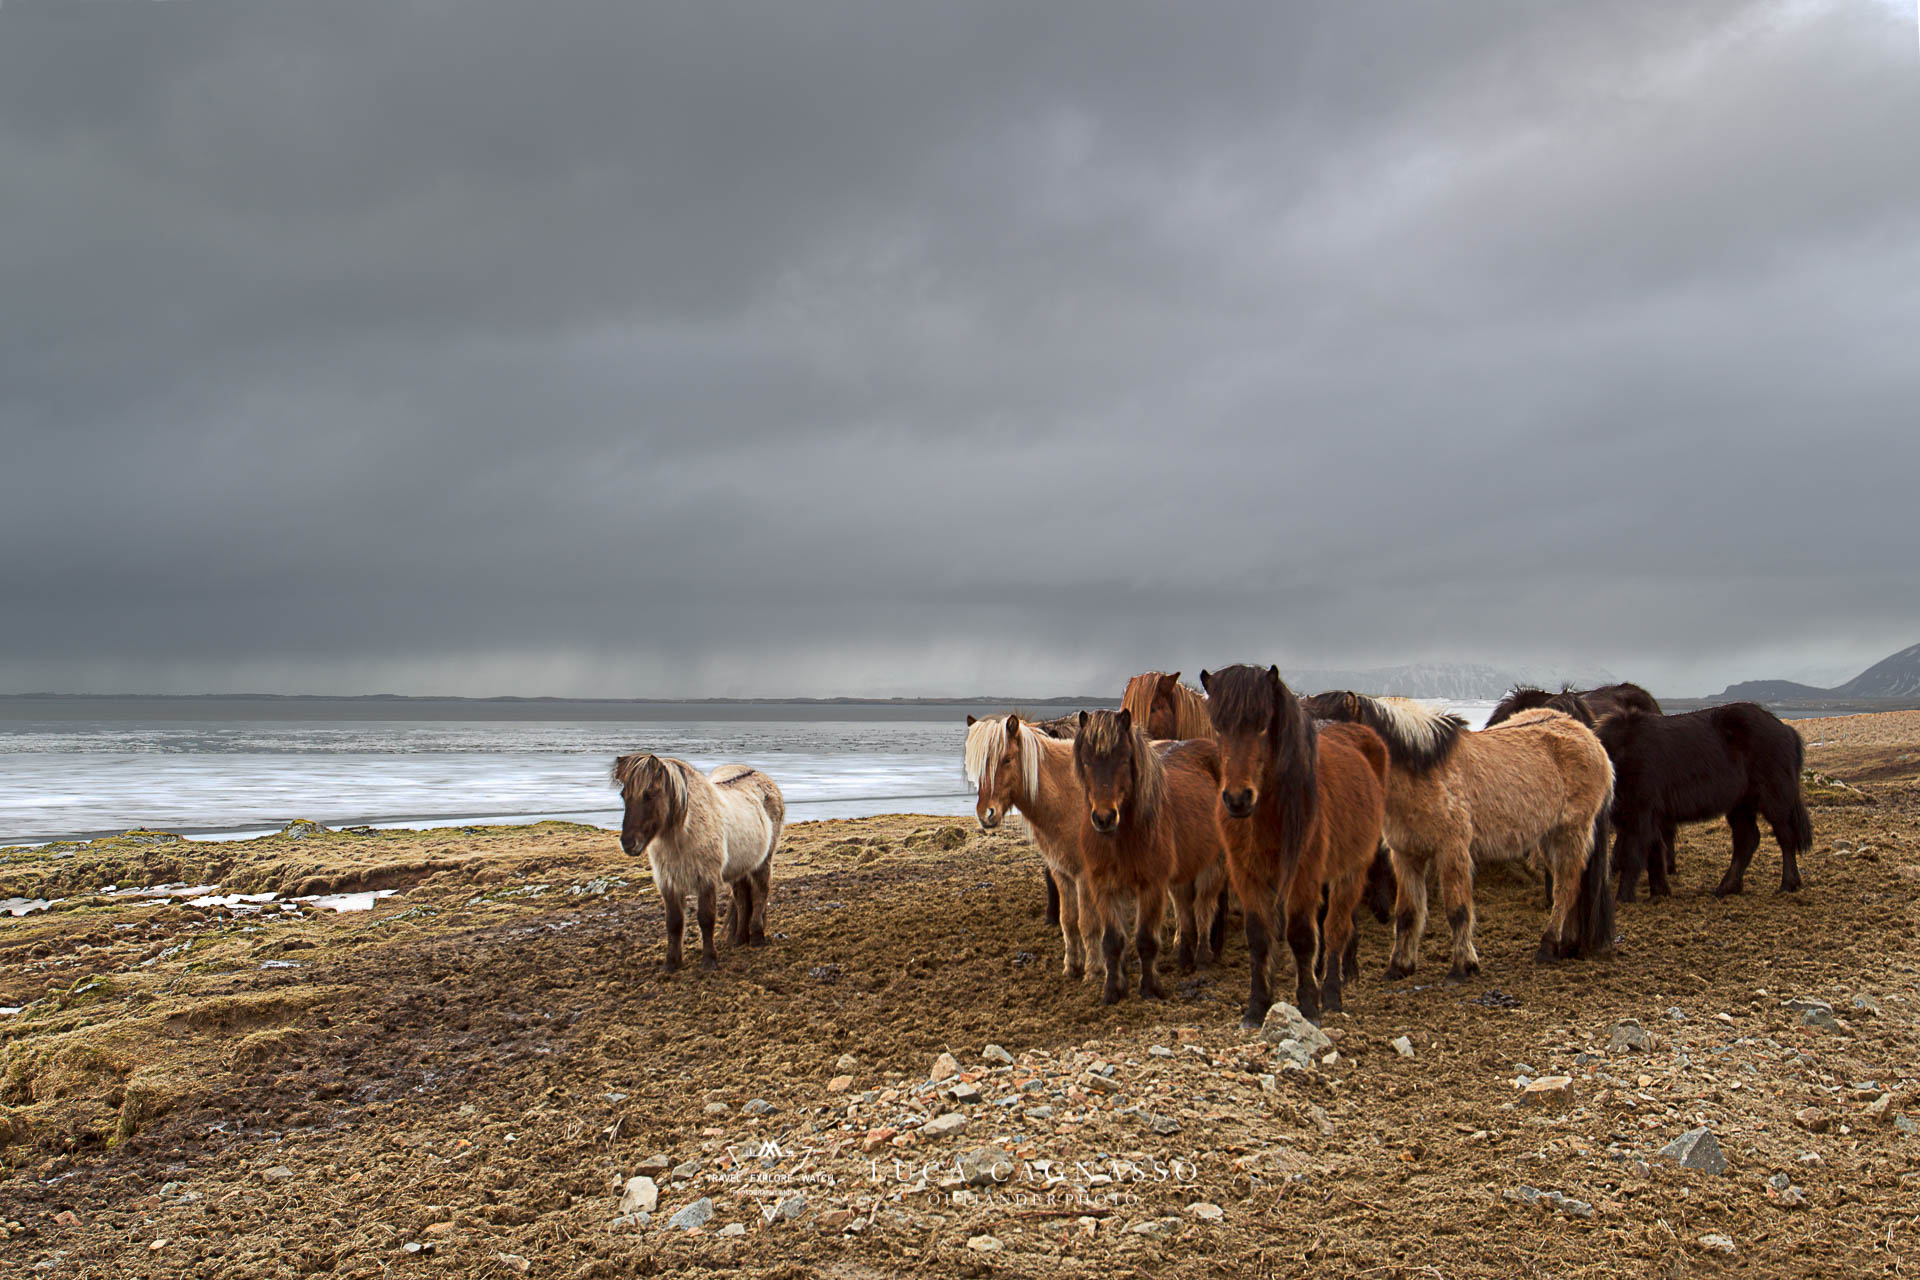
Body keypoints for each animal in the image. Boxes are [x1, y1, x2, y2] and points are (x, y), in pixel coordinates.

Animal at [611, 754, 784, 971]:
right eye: (623, 795)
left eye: (650, 794)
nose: (628, 844)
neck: (684, 832)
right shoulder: (669, 883)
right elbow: (674, 923)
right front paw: (671, 964)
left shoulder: (706, 880)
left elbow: (706, 919)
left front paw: (709, 961)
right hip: (740, 867)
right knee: (742, 899)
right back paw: (739, 940)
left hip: (762, 863)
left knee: (761, 894)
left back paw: (757, 937)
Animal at [1071, 709, 1231, 1003]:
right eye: (1086, 761)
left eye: (1124, 758)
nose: (1104, 818)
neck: (1120, 839)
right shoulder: (1104, 888)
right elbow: (1112, 942)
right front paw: (1112, 990)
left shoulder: (1151, 887)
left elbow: (1146, 939)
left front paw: (1149, 988)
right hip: (1182, 874)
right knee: (1185, 909)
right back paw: (1184, 959)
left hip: (1212, 866)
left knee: (1204, 908)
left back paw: (1203, 959)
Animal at [1200, 665, 1389, 1028]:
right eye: (1217, 726)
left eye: (1263, 724)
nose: (1237, 799)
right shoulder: (1248, 876)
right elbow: (1260, 938)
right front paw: (1256, 1008)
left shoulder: (1302, 875)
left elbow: (1301, 936)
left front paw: (1310, 1006)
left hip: (1350, 872)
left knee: (1336, 930)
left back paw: (1332, 994)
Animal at [1301, 691, 1615, 982]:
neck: (1423, 772)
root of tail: (1585, 734)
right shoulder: (1406, 856)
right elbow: (1407, 913)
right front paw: (1399, 967)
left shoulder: (1451, 851)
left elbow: (1458, 910)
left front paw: (1462, 967)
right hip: (1549, 839)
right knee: (1573, 886)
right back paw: (1568, 945)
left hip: (1570, 833)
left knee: (1566, 888)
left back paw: (1549, 946)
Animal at [1489, 691, 1812, 900]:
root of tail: (1786, 730)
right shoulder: (1648, 817)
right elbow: (1654, 852)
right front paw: (1660, 891)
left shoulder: (1640, 815)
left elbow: (1633, 854)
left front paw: (1624, 896)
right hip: (1740, 805)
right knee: (1747, 840)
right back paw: (1725, 888)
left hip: (1774, 796)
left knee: (1785, 836)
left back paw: (1788, 885)